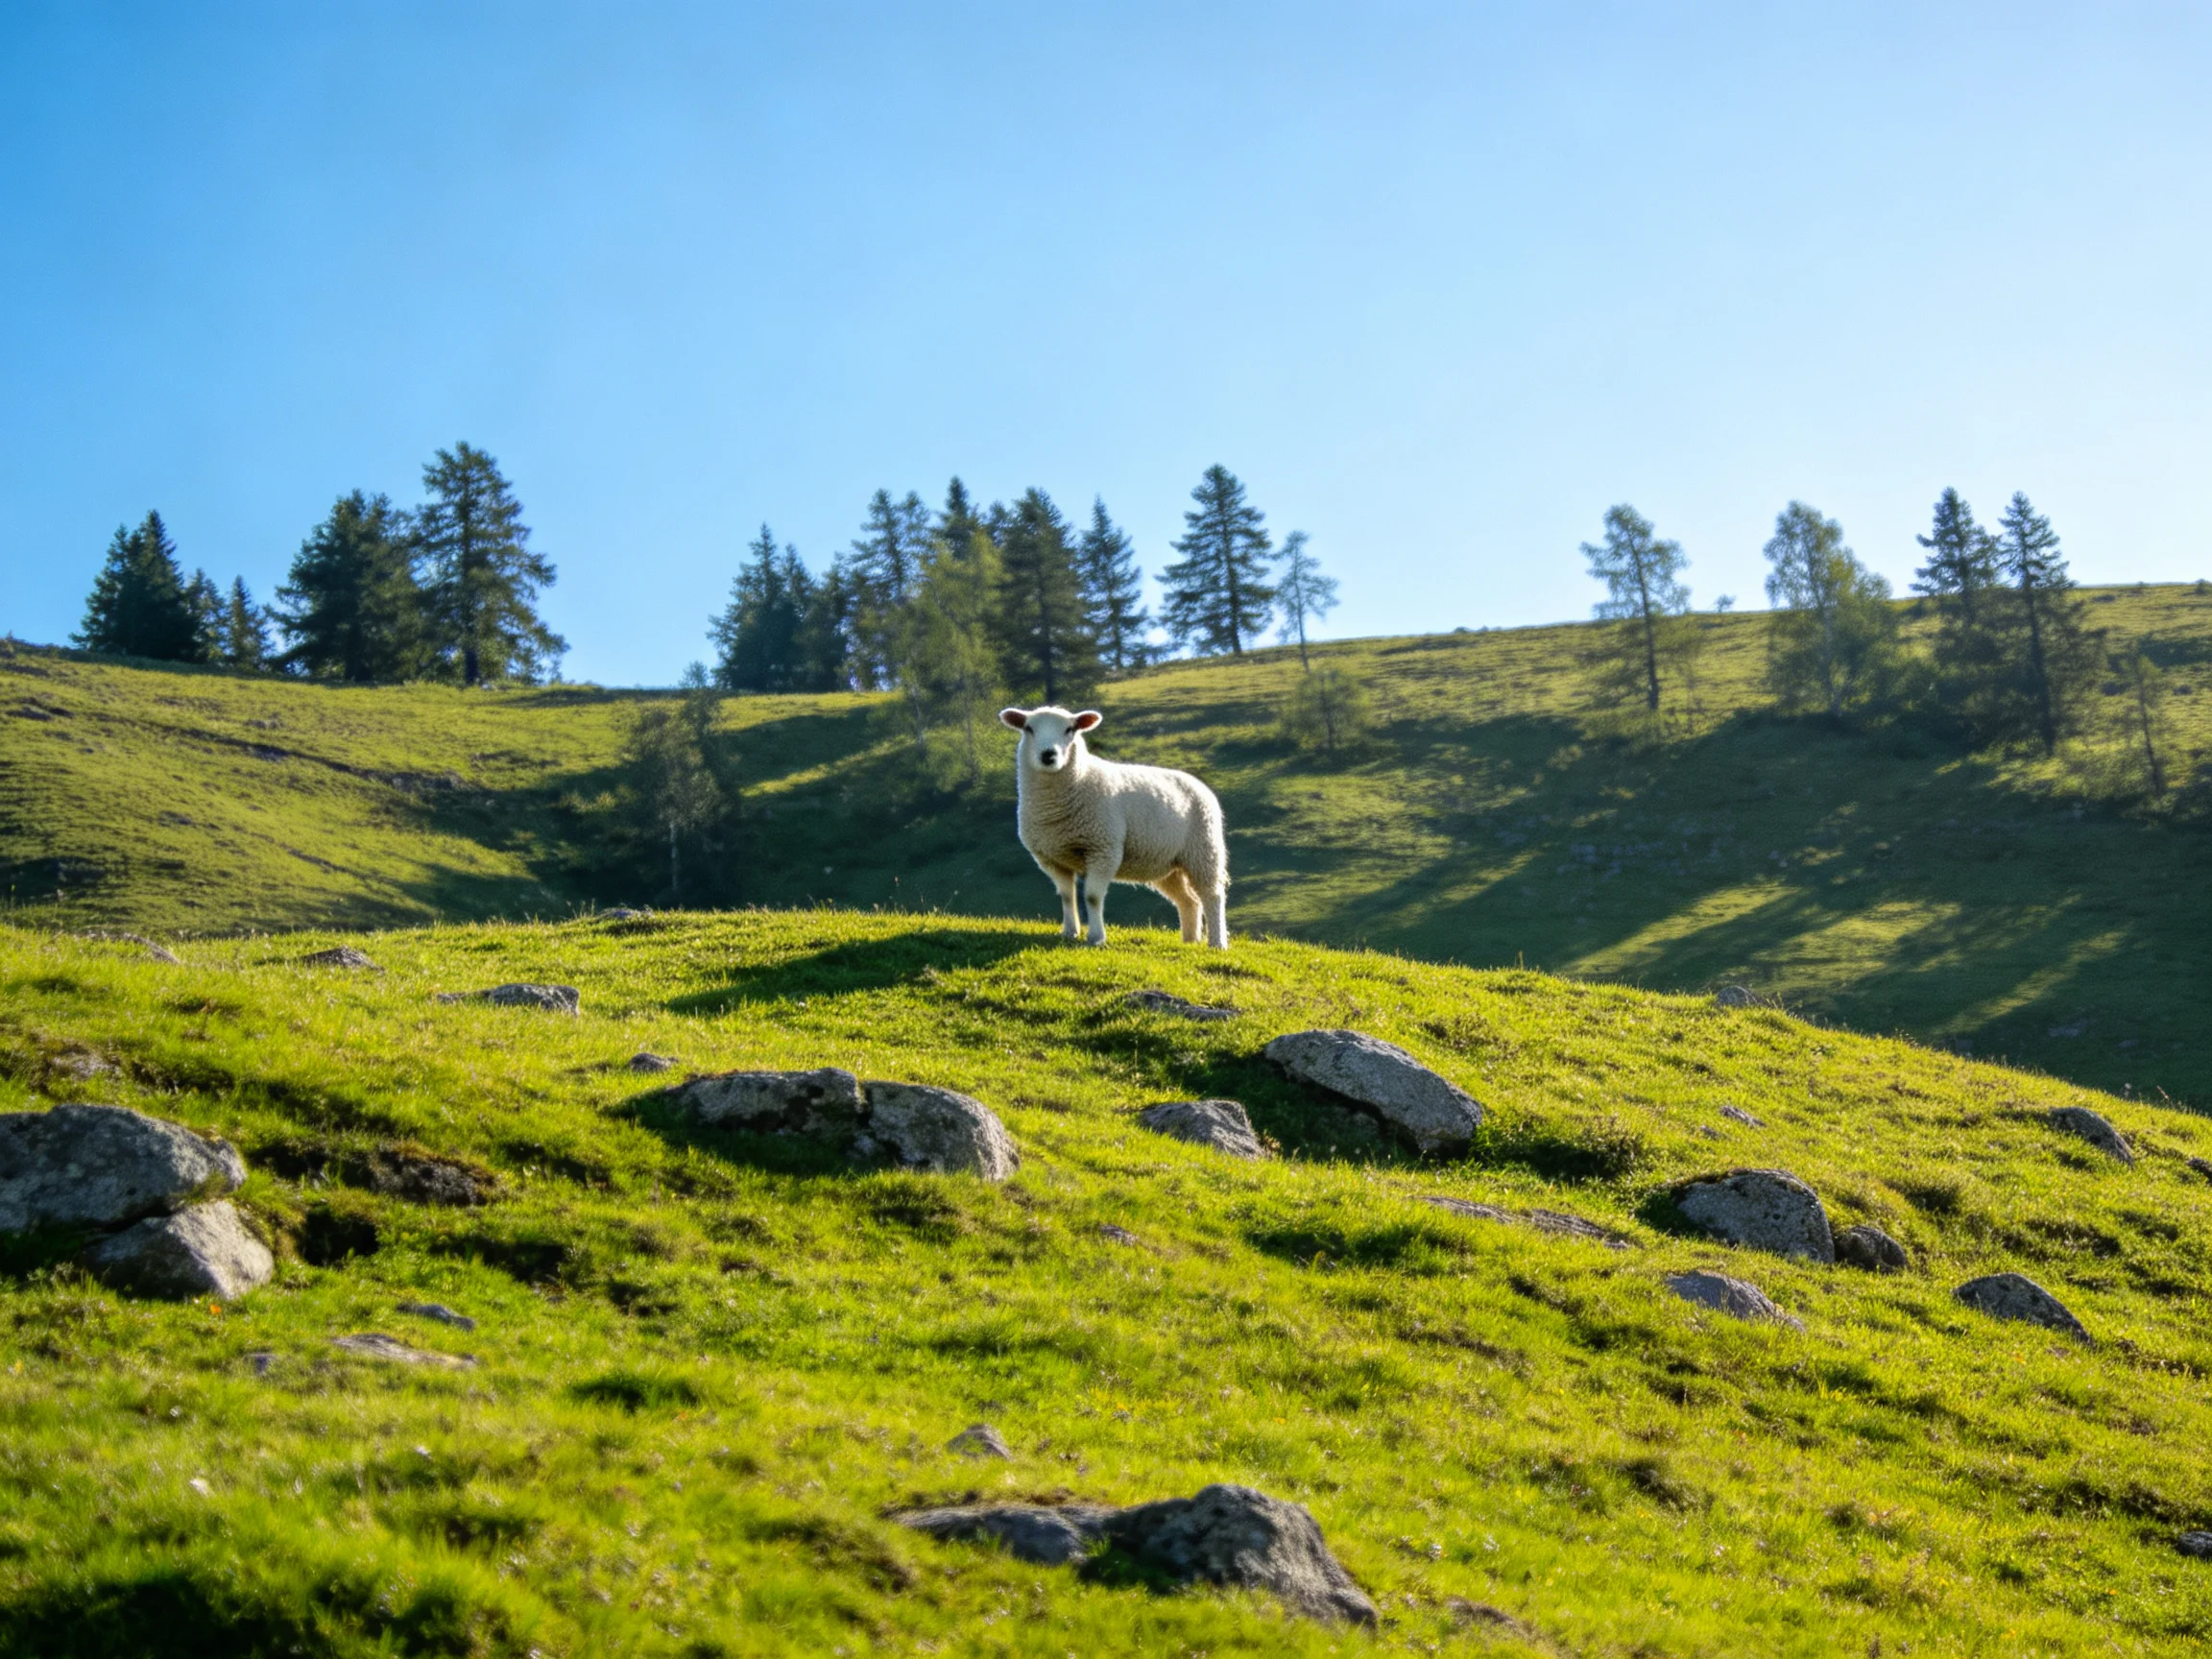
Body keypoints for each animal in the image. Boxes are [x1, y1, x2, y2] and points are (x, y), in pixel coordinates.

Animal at [999, 705, 1230, 948]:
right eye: (1029, 728)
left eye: (1070, 729)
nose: (1048, 755)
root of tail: (1198, 783)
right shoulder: (1052, 858)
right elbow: (1067, 896)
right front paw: (1069, 932)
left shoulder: (1103, 848)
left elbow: (1092, 897)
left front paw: (1096, 937)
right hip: (1166, 863)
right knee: (1188, 900)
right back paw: (1189, 941)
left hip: (1203, 849)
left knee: (1212, 895)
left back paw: (1217, 943)